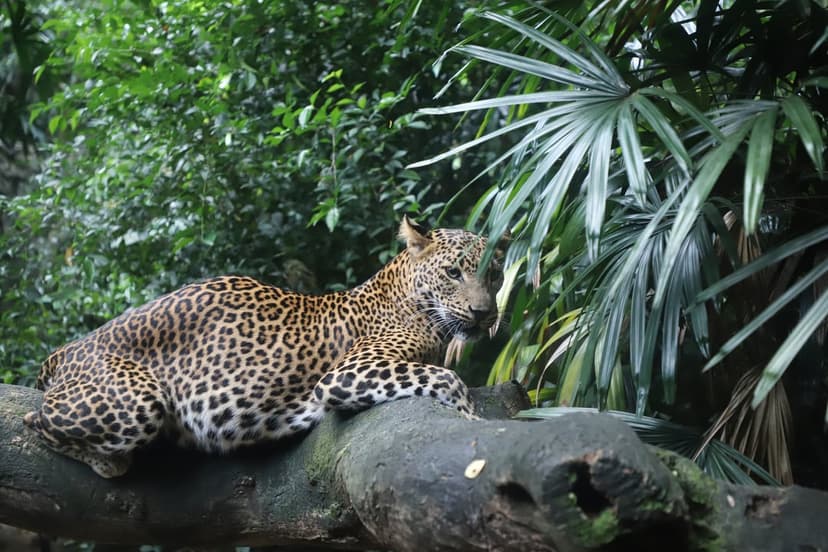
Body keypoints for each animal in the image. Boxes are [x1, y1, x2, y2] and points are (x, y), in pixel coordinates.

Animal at [23, 216, 504, 478]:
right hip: (137, 400)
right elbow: (447, 377)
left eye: (495, 274)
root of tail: (67, 349)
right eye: (454, 273)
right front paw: (471, 416)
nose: (484, 313)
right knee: (36, 421)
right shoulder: (347, 373)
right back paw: (109, 462)